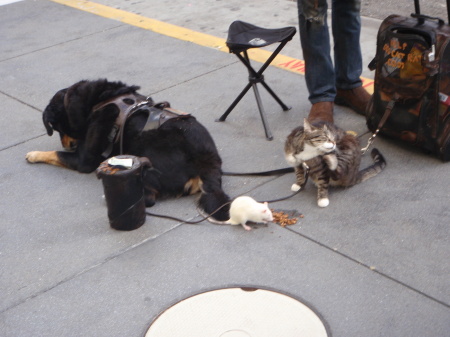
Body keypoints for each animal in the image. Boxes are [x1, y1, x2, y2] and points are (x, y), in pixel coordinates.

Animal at [27, 79, 232, 220]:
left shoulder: (83, 160)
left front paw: (34, 154)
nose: (68, 145)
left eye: (58, 129)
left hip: (146, 155)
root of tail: (207, 163)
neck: (95, 102)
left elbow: (56, 155)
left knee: (148, 197)